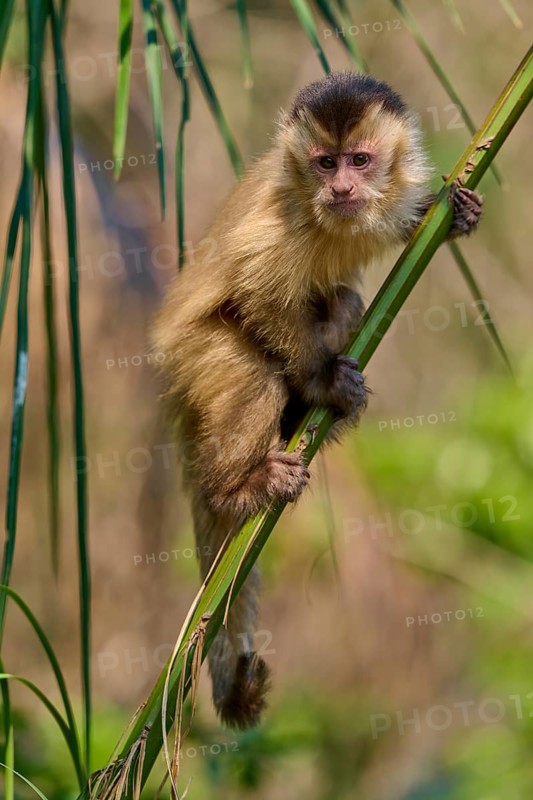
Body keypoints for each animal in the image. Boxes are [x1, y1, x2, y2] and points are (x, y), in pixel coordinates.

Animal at [151, 72, 483, 730]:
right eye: (325, 163)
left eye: (360, 160)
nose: (343, 186)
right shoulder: (285, 218)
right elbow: (259, 291)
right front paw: (321, 383)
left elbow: (409, 221)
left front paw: (450, 213)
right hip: (195, 354)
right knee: (254, 372)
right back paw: (238, 485)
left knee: (343, 302)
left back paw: (315, 421)